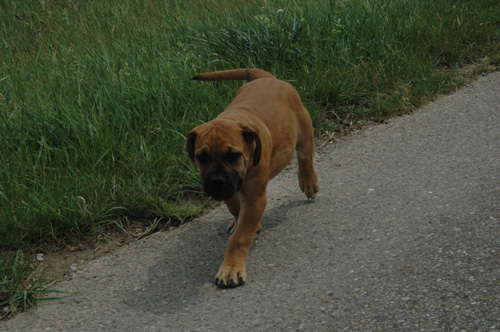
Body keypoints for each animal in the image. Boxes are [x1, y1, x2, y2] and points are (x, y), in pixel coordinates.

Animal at [186, 68, 318, 288]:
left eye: (233, 155)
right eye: (201, 157)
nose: (216, 181)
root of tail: (268, 78)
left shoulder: (255, 197)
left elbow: (240, 237)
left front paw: (231, 268)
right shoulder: (231, 189)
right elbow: (235, 208)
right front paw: (242, 221)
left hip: (303, 130)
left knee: (305, 156)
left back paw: (308, 181)